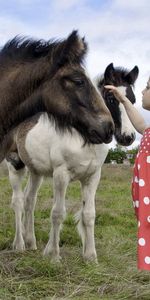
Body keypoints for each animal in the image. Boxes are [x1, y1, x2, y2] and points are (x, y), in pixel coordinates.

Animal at [5, 63, 139, 262]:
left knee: (30, 200)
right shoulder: (61, 175)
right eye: (111, 99)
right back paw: (19, 244)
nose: (128, 137)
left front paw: (90, 256)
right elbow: (58, 213)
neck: (84, 138)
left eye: (133, 100)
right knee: (18, 201)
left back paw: (31, 242)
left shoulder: (92, 177)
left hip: (36, 171)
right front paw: (53, 255)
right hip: (15, 165)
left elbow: (89, 214)